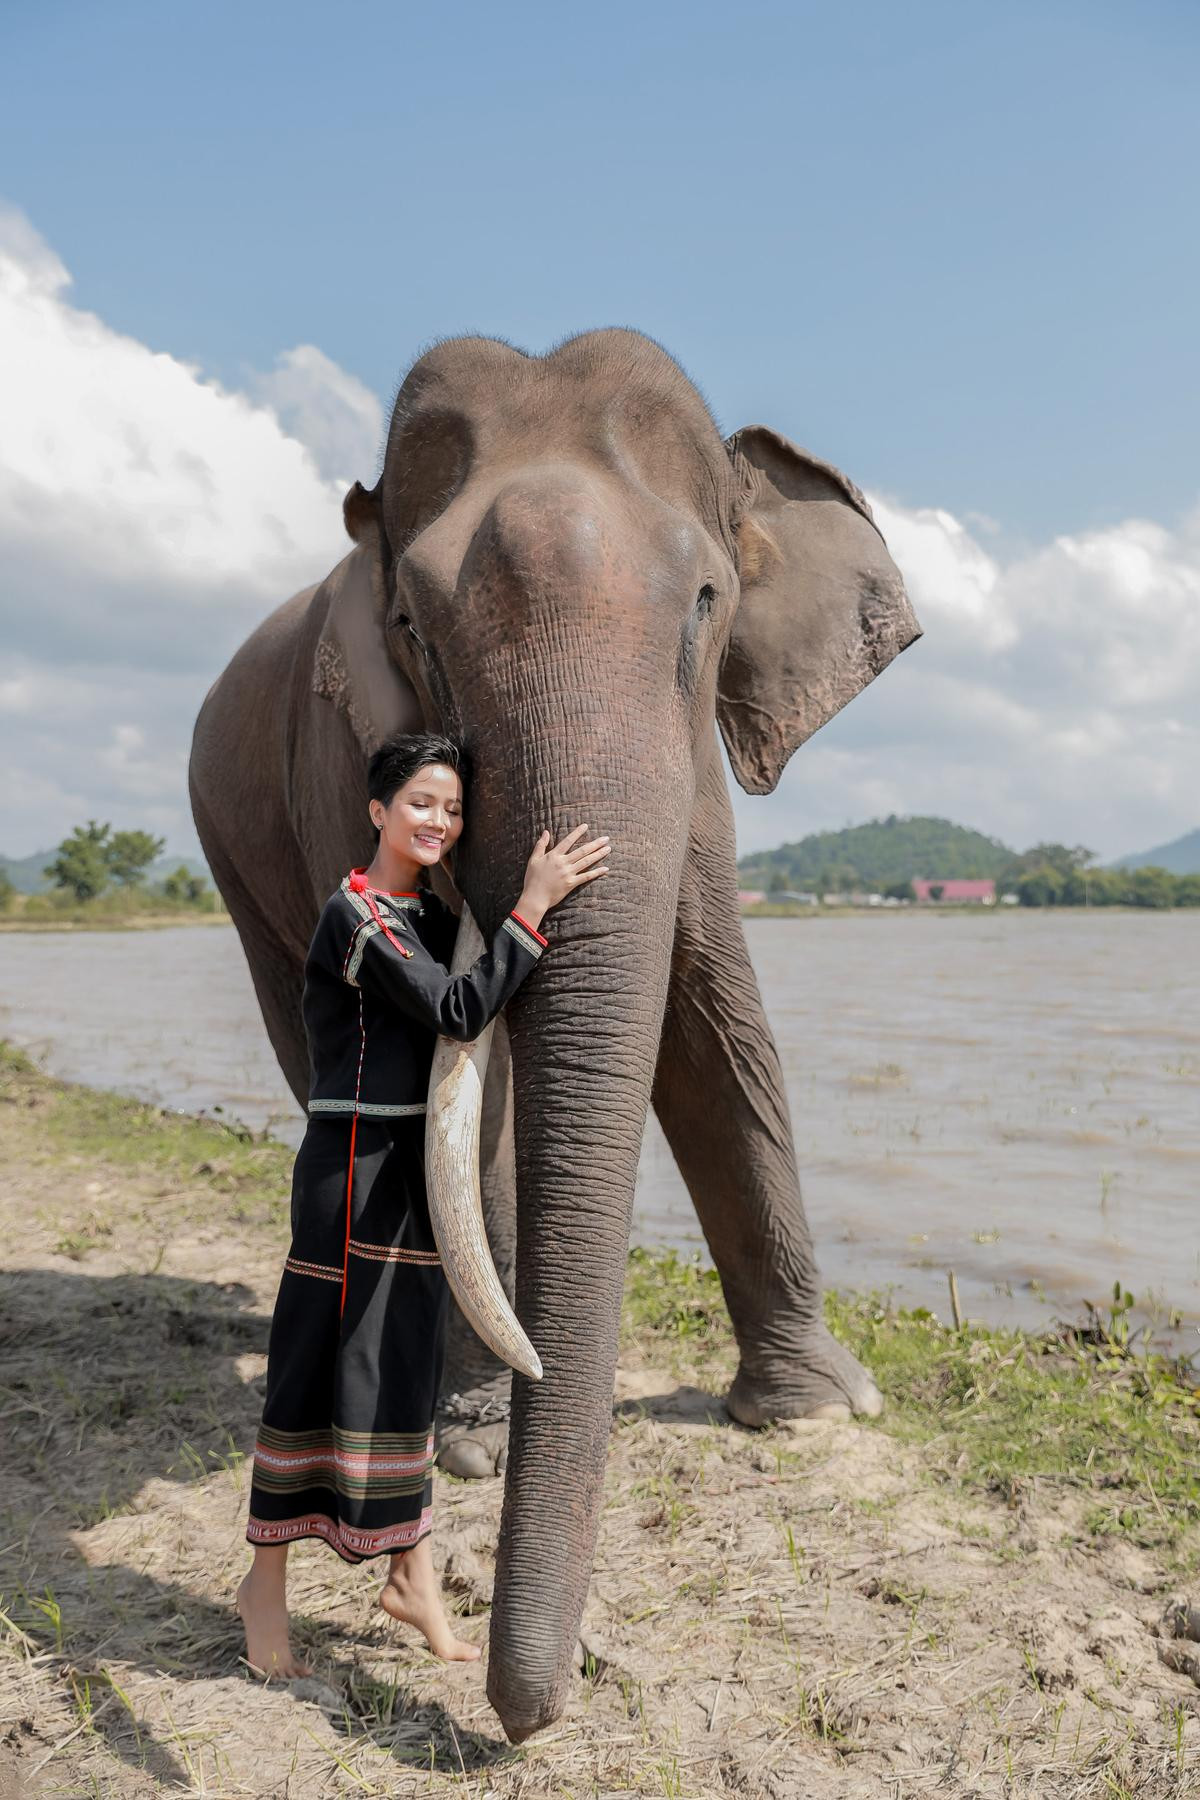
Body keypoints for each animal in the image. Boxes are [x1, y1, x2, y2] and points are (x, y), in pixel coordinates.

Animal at [189, 327, 921, 1742]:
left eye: (706, 603)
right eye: (413, 628)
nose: (530, 1713)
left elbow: (712, 1020)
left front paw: (814, 1412)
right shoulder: (336, 765)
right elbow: (457, 1091)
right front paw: (475, 1443)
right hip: (233, 848)